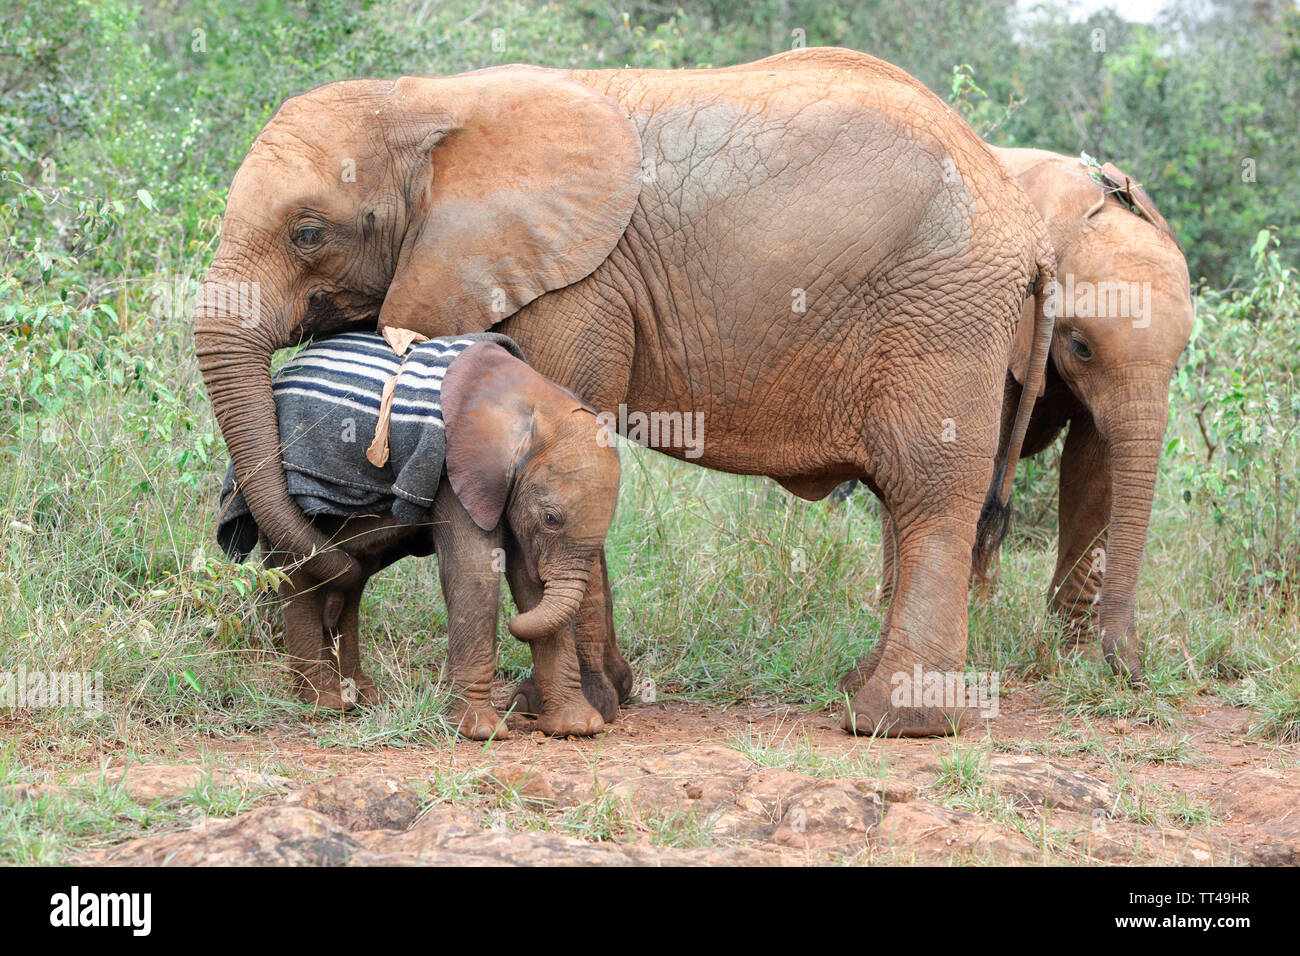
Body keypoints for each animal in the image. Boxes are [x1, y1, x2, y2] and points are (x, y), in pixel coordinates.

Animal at [217, 336, 622, 739]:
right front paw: (481, 732)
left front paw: (577, 727)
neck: (535, 399)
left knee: (350, 581)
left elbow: (528, 582)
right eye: (551, 518)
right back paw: (325, 702)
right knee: (301, 576)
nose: (513, 629)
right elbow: (475, 571)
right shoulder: (454, 467)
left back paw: (360, 695)